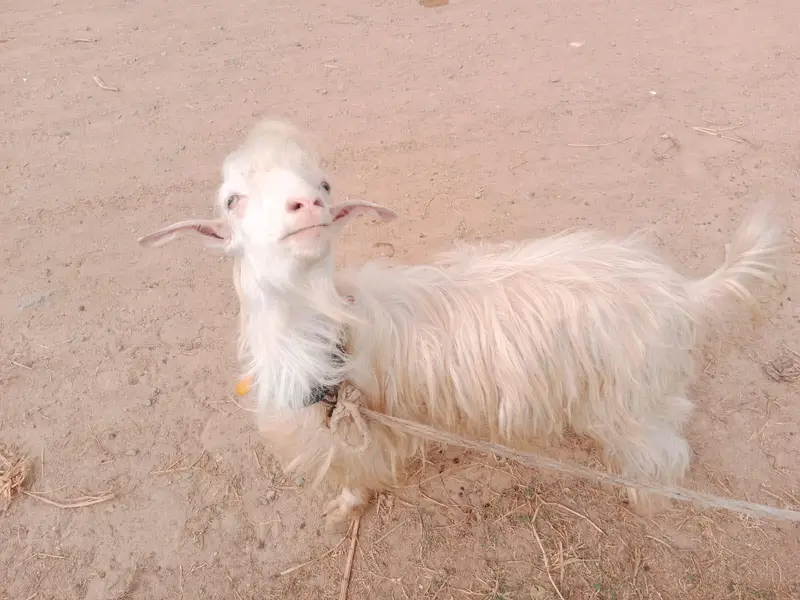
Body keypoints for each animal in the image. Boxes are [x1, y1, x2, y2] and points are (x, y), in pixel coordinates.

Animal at [139, 118, 785, 528]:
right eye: (231, 200)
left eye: (325, 185)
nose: (308, 206)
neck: (327, 331)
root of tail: (682, 292)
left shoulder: (349, 430)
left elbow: (353, 474)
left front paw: (345, 509)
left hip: (631, 400)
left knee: (668, 452)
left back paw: (643, 498)